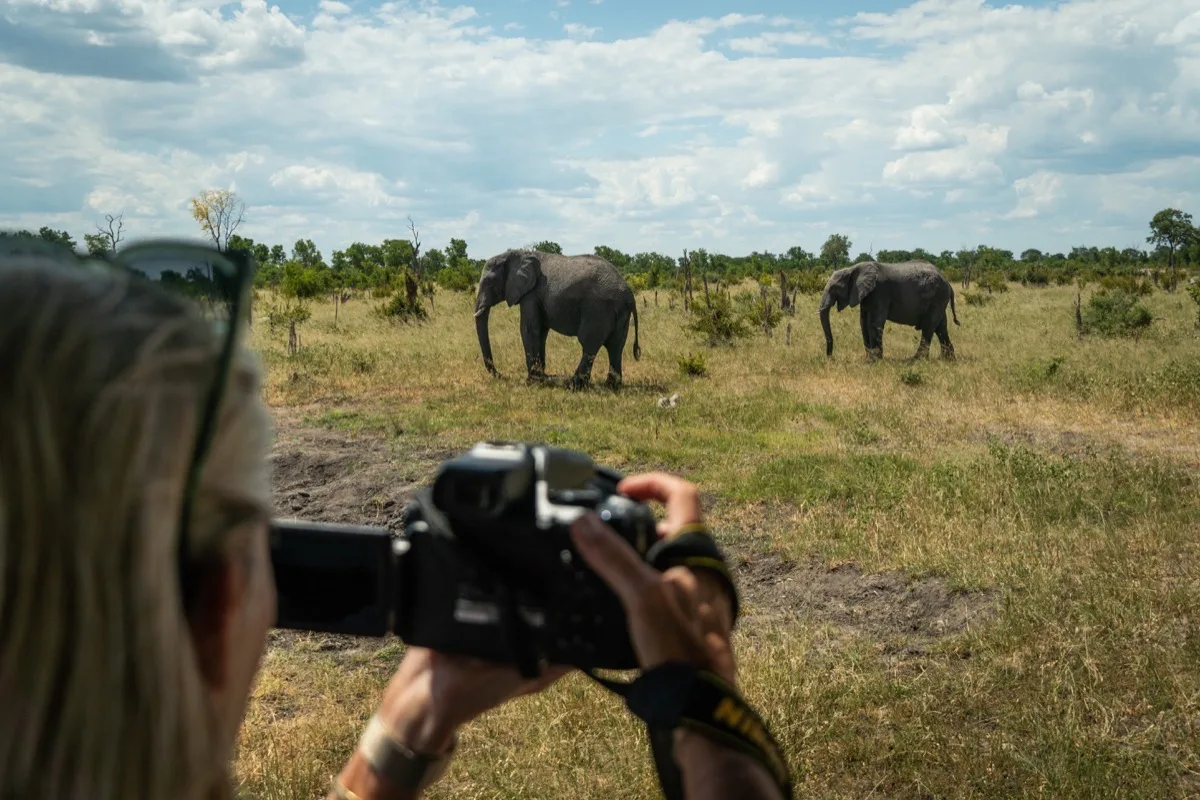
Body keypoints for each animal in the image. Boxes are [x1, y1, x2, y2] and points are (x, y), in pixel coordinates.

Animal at [474, 248, 641, 388]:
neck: (516, 253)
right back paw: (611, 386)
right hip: (620, 312)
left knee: (589, 343)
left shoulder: (531, 294)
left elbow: (529, 329)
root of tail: (629, 295)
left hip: (598, 309)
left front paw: (532, 381)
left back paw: (574, 385)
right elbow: (541, 332)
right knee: (616, 346)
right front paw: (541, 377)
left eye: (488, 282)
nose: (502, 376)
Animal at [818, 259, 959, 360]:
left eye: (833, 288)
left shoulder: (879, 293)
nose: (830, 357)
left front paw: (874, 361)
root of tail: (948, 282)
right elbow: (863, 323)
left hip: (937, 298)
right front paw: (868, 359)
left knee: (929, 327)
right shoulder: (866, 295)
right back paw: (947, 360)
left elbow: (874, 324)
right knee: (941, 327)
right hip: (939, 300)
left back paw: (916, 360)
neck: (852, 268)